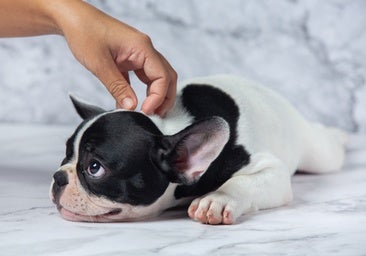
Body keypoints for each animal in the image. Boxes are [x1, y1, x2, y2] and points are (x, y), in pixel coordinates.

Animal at [50, 74, 348, 224]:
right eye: (66, 154)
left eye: (95, 167)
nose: (57, 177)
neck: (164, 127)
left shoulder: (271, 171)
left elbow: (243, 182)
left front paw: (217, 200)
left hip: (319, 155)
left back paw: (341, 136)